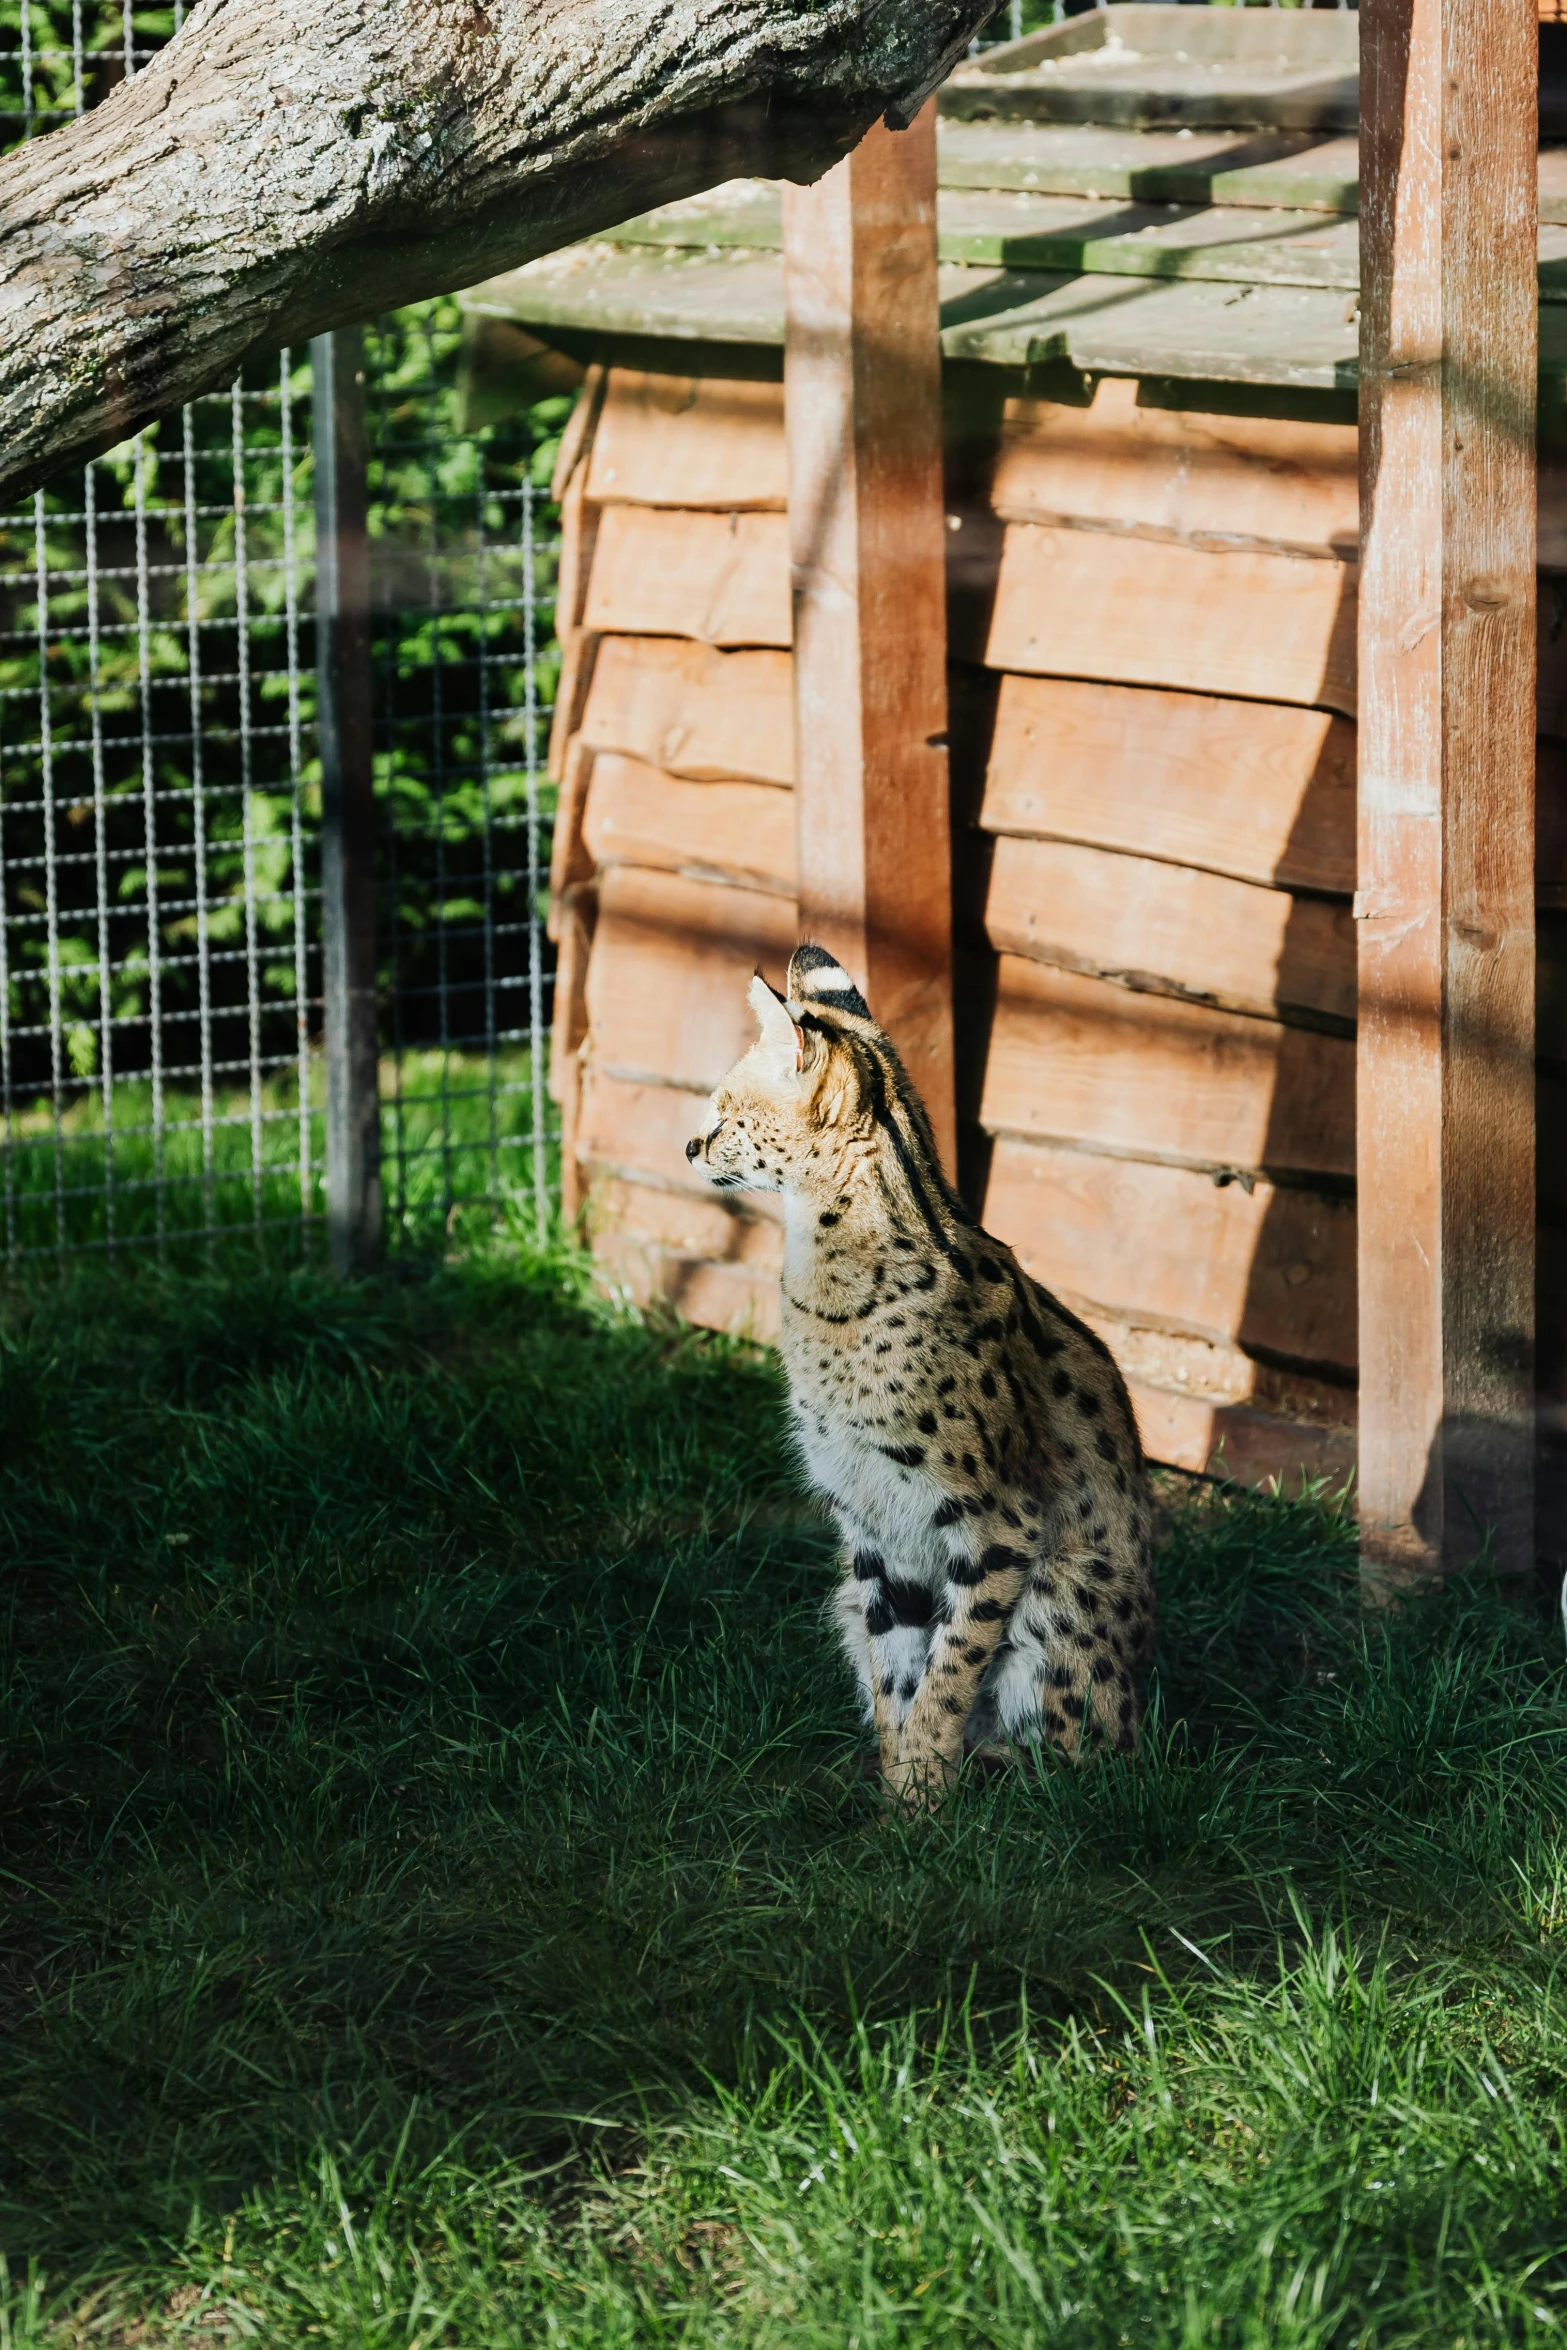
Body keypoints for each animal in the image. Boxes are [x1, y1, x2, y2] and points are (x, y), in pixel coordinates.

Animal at [681, 944, 1151, 1804]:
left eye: (726, 1115)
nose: (690, 1148)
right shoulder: (871, 1523)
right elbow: (895, 1672)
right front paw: (896, 1802)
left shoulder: (996, 1523)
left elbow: (949, 1671)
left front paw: (922, 1802)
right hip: (848, 1583)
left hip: (1066, 1583)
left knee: (1086, 1768)